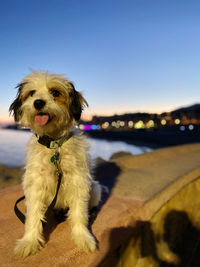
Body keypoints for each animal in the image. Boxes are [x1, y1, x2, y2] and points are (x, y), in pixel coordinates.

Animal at [9, 70, 101, 258]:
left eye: (55, 92)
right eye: (32, 93)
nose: (38, 102)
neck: (54, 145)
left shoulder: (78, 182)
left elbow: (79, 214)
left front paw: (82, 237)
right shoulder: (36, 185)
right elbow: (33, 217)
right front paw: (30, 241)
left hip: (95, 188)